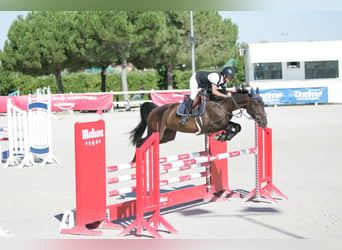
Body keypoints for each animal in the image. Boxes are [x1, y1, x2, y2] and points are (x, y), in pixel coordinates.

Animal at [130, 87, 268, 151]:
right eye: (256, 104)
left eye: (263, 103)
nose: (264, 122)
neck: (222, 105)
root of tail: (154, 109)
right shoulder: (210, 126)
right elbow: (229, 127)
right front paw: (222, 136)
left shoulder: (225, 122)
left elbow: (237, 126)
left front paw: (225, 136)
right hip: (156, 132)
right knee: (141, 141)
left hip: (167, 136)